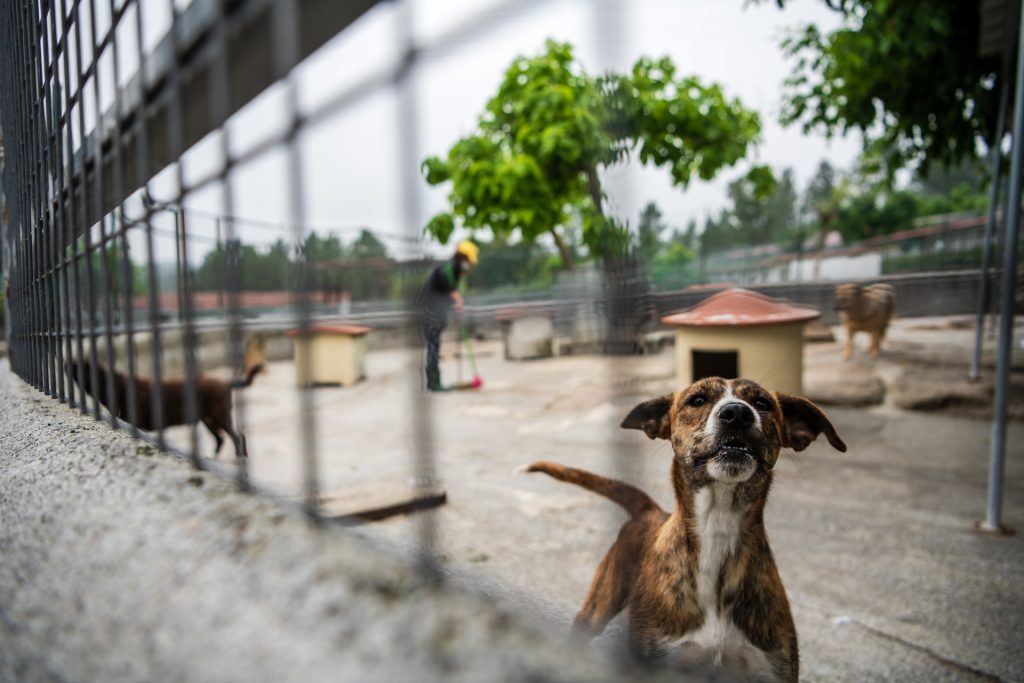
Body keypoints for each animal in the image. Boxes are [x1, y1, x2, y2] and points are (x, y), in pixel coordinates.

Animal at [524, 376, 843, 679]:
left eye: (762, 403)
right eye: (697, 399)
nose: (738, 413)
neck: (718, 524)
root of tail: (650, 510)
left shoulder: (771, 668)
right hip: (597, 606)